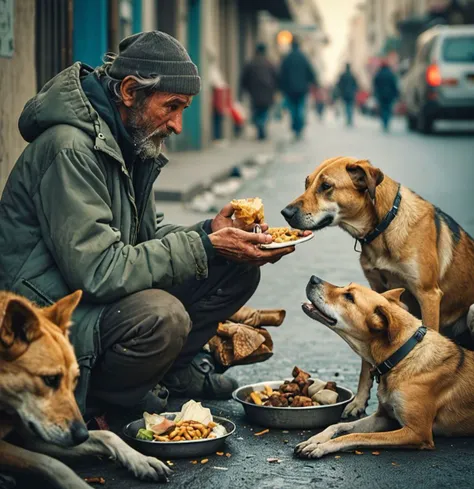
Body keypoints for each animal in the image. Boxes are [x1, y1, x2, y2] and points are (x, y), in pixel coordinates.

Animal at [0, 290, 170, 488]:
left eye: (75, 379)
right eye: (50, 379)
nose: (82, 435)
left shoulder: (37, 436)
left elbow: (107, 434)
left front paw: (140, 460)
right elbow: (52, 464)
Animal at [296, 276, 474, 460]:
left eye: (349, 297)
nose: (313, 278)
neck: (402, 355)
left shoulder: (417, 432)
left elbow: (356, 435)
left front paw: (322, 447)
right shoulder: (384, 417)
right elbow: (338, 426)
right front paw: (315, 439)